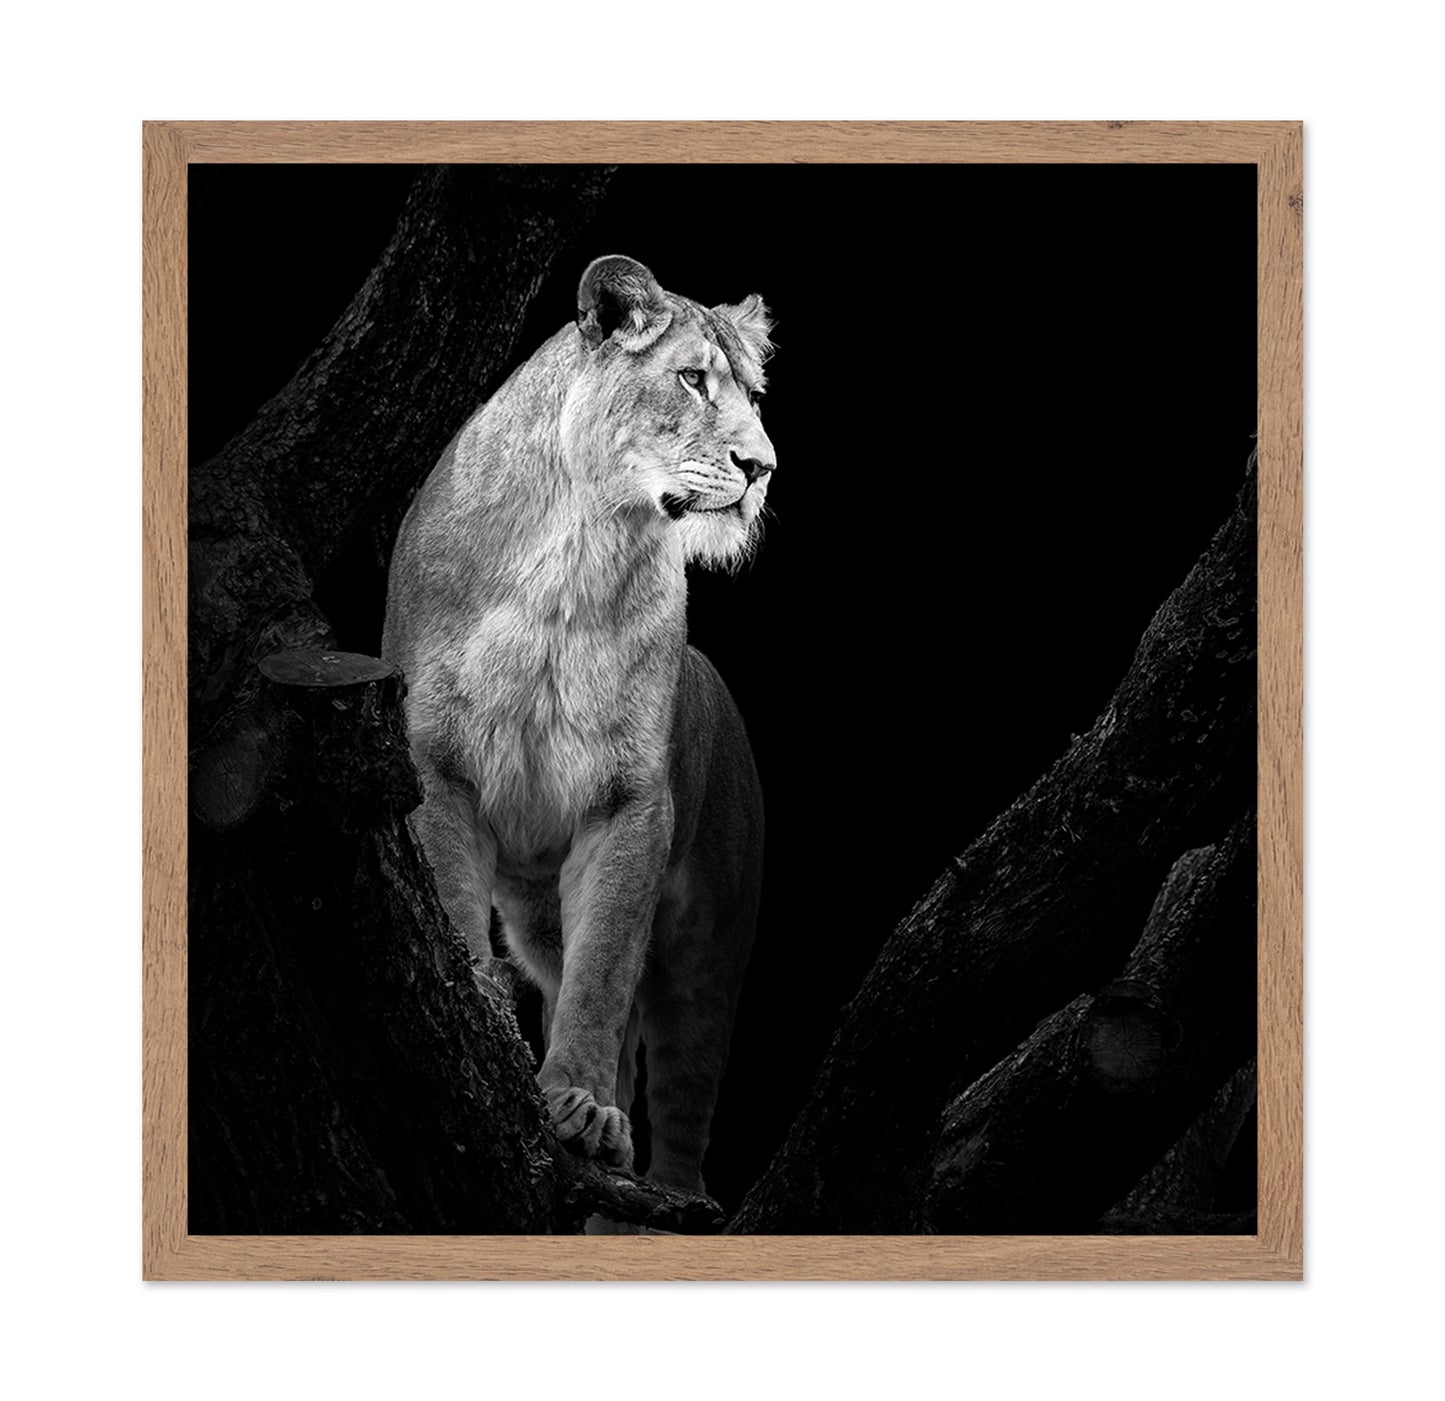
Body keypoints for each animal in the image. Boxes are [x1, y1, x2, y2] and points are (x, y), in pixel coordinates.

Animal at [382, 255, 775, 1195]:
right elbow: (454, 902)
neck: (581, 547)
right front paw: (483, 1010)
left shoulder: (629, 803)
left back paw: (665, 1192)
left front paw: (584, 1109)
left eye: (753, 392)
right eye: (692, 378)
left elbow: (603, 974)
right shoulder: (436, 762)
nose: (762, 466)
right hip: (536, 914)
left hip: (714, 944)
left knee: (681, 1092)